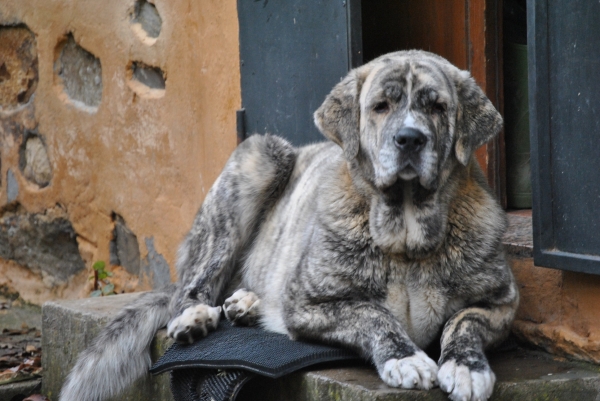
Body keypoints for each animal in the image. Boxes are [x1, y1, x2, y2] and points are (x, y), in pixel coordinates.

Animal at [63, 49, 516, 400]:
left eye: (437, 107)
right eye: (380, 107)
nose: (409, 139)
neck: (405, 236)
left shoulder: (501, 302)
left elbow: (464, 322)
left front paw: (466, 366)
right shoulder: (308, 303)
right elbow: (373, 314)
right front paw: (405, 358)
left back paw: (248, 304)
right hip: (261, 158)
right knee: (194, 283)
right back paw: (196, 316)